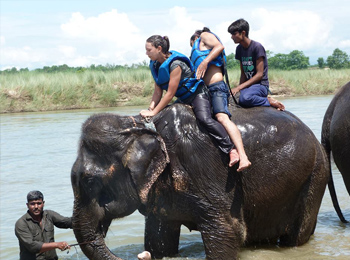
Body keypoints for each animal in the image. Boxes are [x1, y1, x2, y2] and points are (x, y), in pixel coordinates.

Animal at [72, 103, 330, 260]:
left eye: (90, 182)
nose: (141, 256)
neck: (141, 128)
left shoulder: (207, 168)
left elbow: (228, 231)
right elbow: (159, 236)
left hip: (315, 176)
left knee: (295, 236)